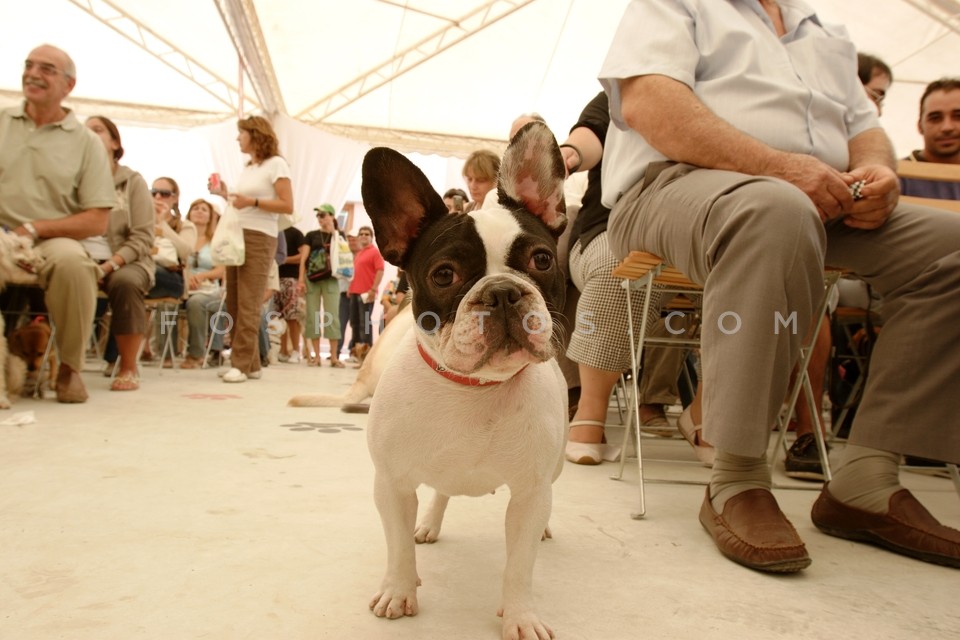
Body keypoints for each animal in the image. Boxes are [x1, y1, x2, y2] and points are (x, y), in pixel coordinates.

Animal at [362, 122, 568, 640]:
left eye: (541, 260)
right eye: (444, 274)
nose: (503, 292)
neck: (474, 388)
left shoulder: (531, 491)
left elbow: (519, 566)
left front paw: (520, 615)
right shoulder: (391, 483)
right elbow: (397, 545)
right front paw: (399, 590)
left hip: (554, 470)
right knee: (440, 492)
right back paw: (428, 526)